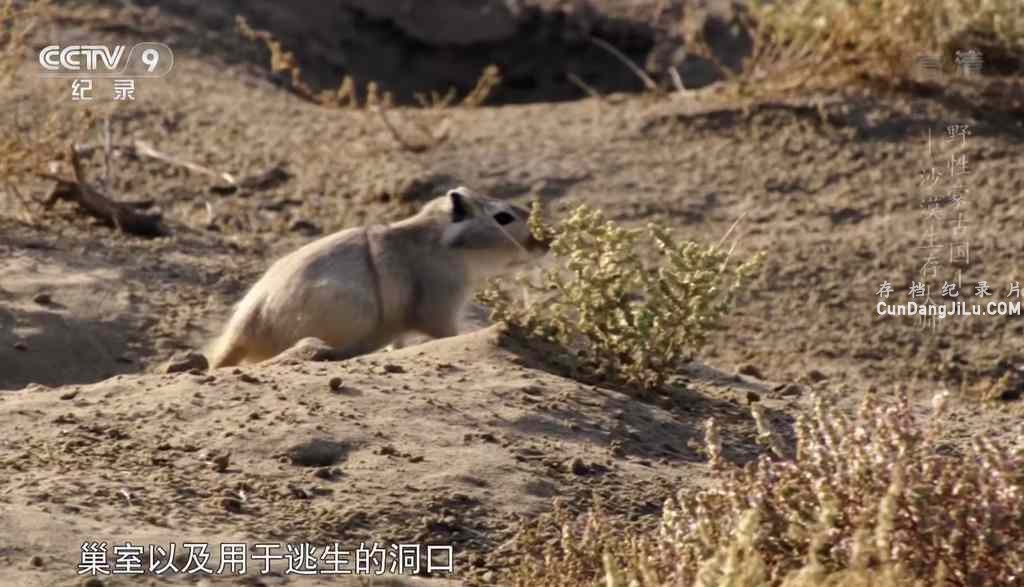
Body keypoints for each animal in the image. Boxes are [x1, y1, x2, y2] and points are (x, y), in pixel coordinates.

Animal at [202, 185, 548, 368]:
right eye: (503, 218)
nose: (546, 242)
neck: (443, 244)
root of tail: (242, 331)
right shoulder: (440, 310)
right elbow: (449, 335)